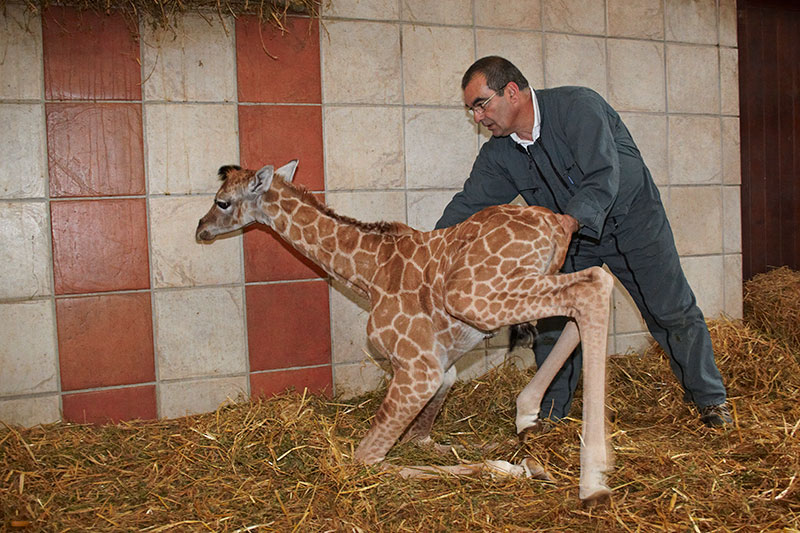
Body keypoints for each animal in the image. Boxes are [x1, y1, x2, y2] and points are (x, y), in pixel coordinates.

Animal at [197, 160, 616, 500]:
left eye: (222, 201)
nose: (201, 230)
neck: (368, 273)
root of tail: (556, 224)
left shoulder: (418, 370)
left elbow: (365, 460)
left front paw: (507, 468)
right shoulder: (442, 370)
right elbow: (425, 440)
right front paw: (504, 453)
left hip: (473, 297)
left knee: (591, 288)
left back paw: (592, 477)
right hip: (531, 282)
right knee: (597, 281)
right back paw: (527, 419)